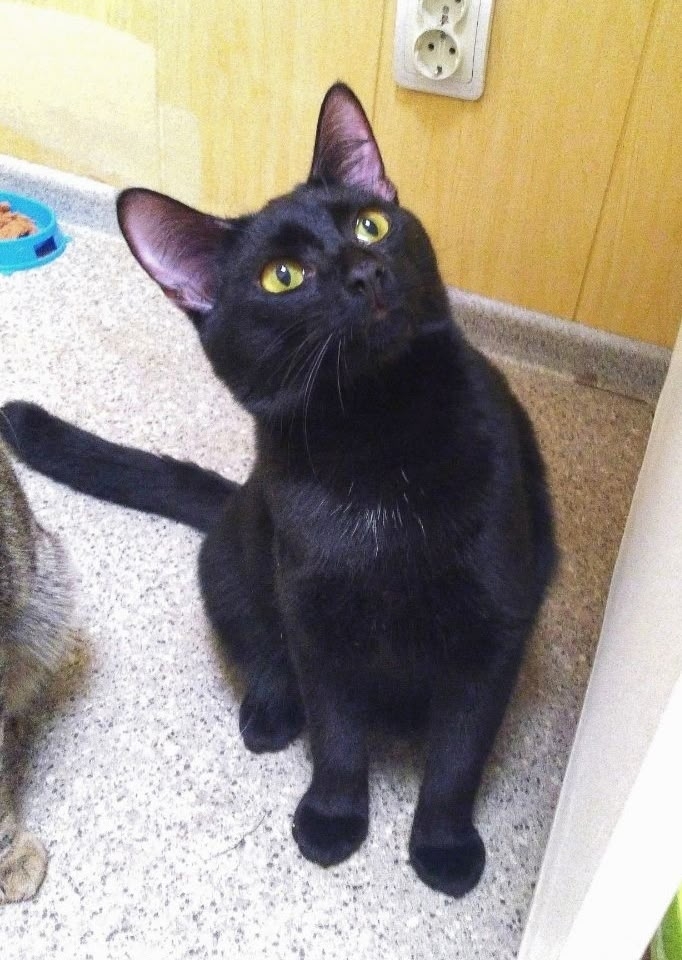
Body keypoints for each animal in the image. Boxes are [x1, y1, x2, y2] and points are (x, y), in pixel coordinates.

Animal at [0, 83, 556, 897]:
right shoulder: (316, 621)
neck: (376, 443)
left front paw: (445, 847)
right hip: (231, 562)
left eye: (371, 224)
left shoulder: (492, 624)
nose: (364, 272)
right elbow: (338, 734)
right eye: (282, 278)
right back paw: (268, 710)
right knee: (256, 640)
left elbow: (458, 756)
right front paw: (332, 818)